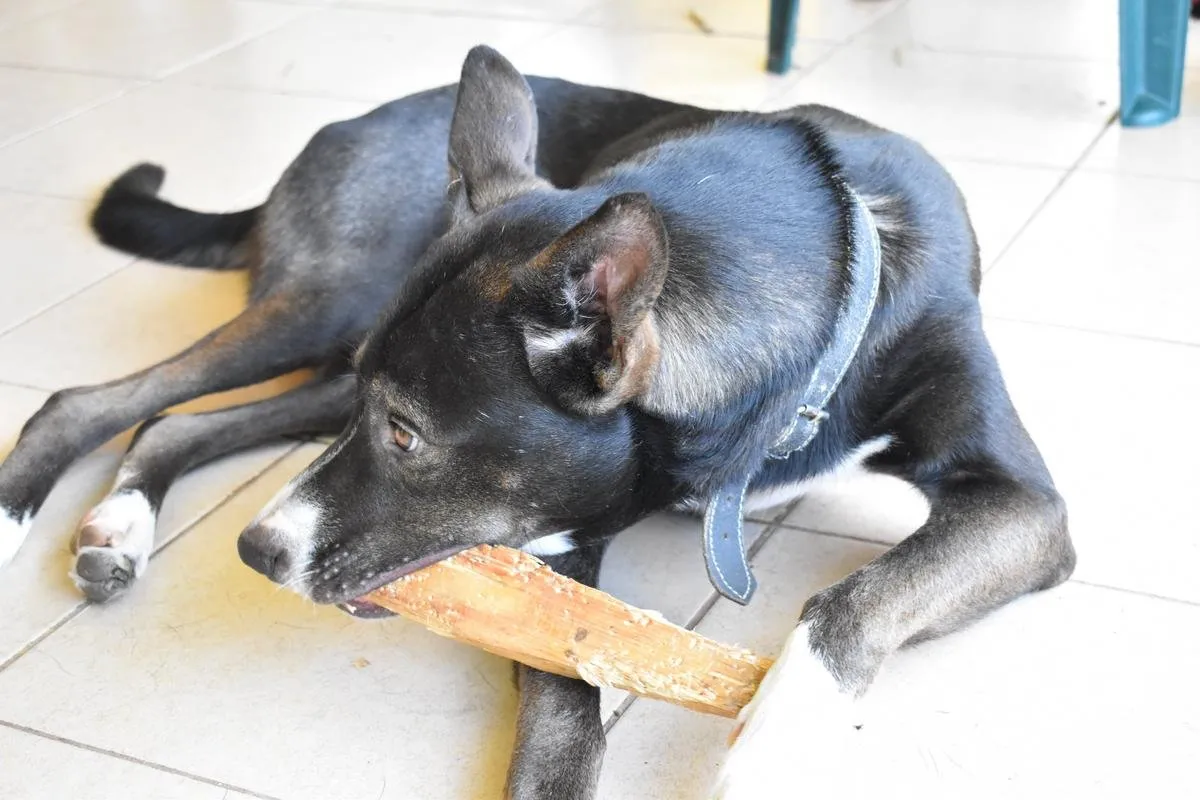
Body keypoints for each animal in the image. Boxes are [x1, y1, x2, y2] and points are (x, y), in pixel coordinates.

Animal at [0, 45, 1075, 799]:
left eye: (407, 434)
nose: (255, 552)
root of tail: (342, 127)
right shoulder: (555, 556)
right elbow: (564, 721)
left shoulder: (1030, 511)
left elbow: (864, 592)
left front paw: (779, 730)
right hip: (333, 310)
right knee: (96, 402)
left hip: (333, 349)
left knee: (170, 421)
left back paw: (119, 527)